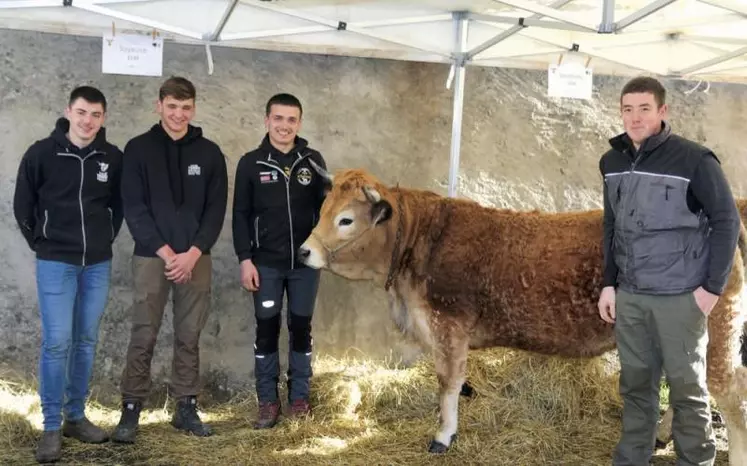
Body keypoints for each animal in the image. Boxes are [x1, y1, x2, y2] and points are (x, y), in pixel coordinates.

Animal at [298, 164, 747, 462]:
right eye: (322, 211)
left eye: (346, 219)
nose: (304, 252)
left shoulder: (448, 326)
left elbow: (447, 384)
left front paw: (444, 435)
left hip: (715, 330)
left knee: (729, 392)